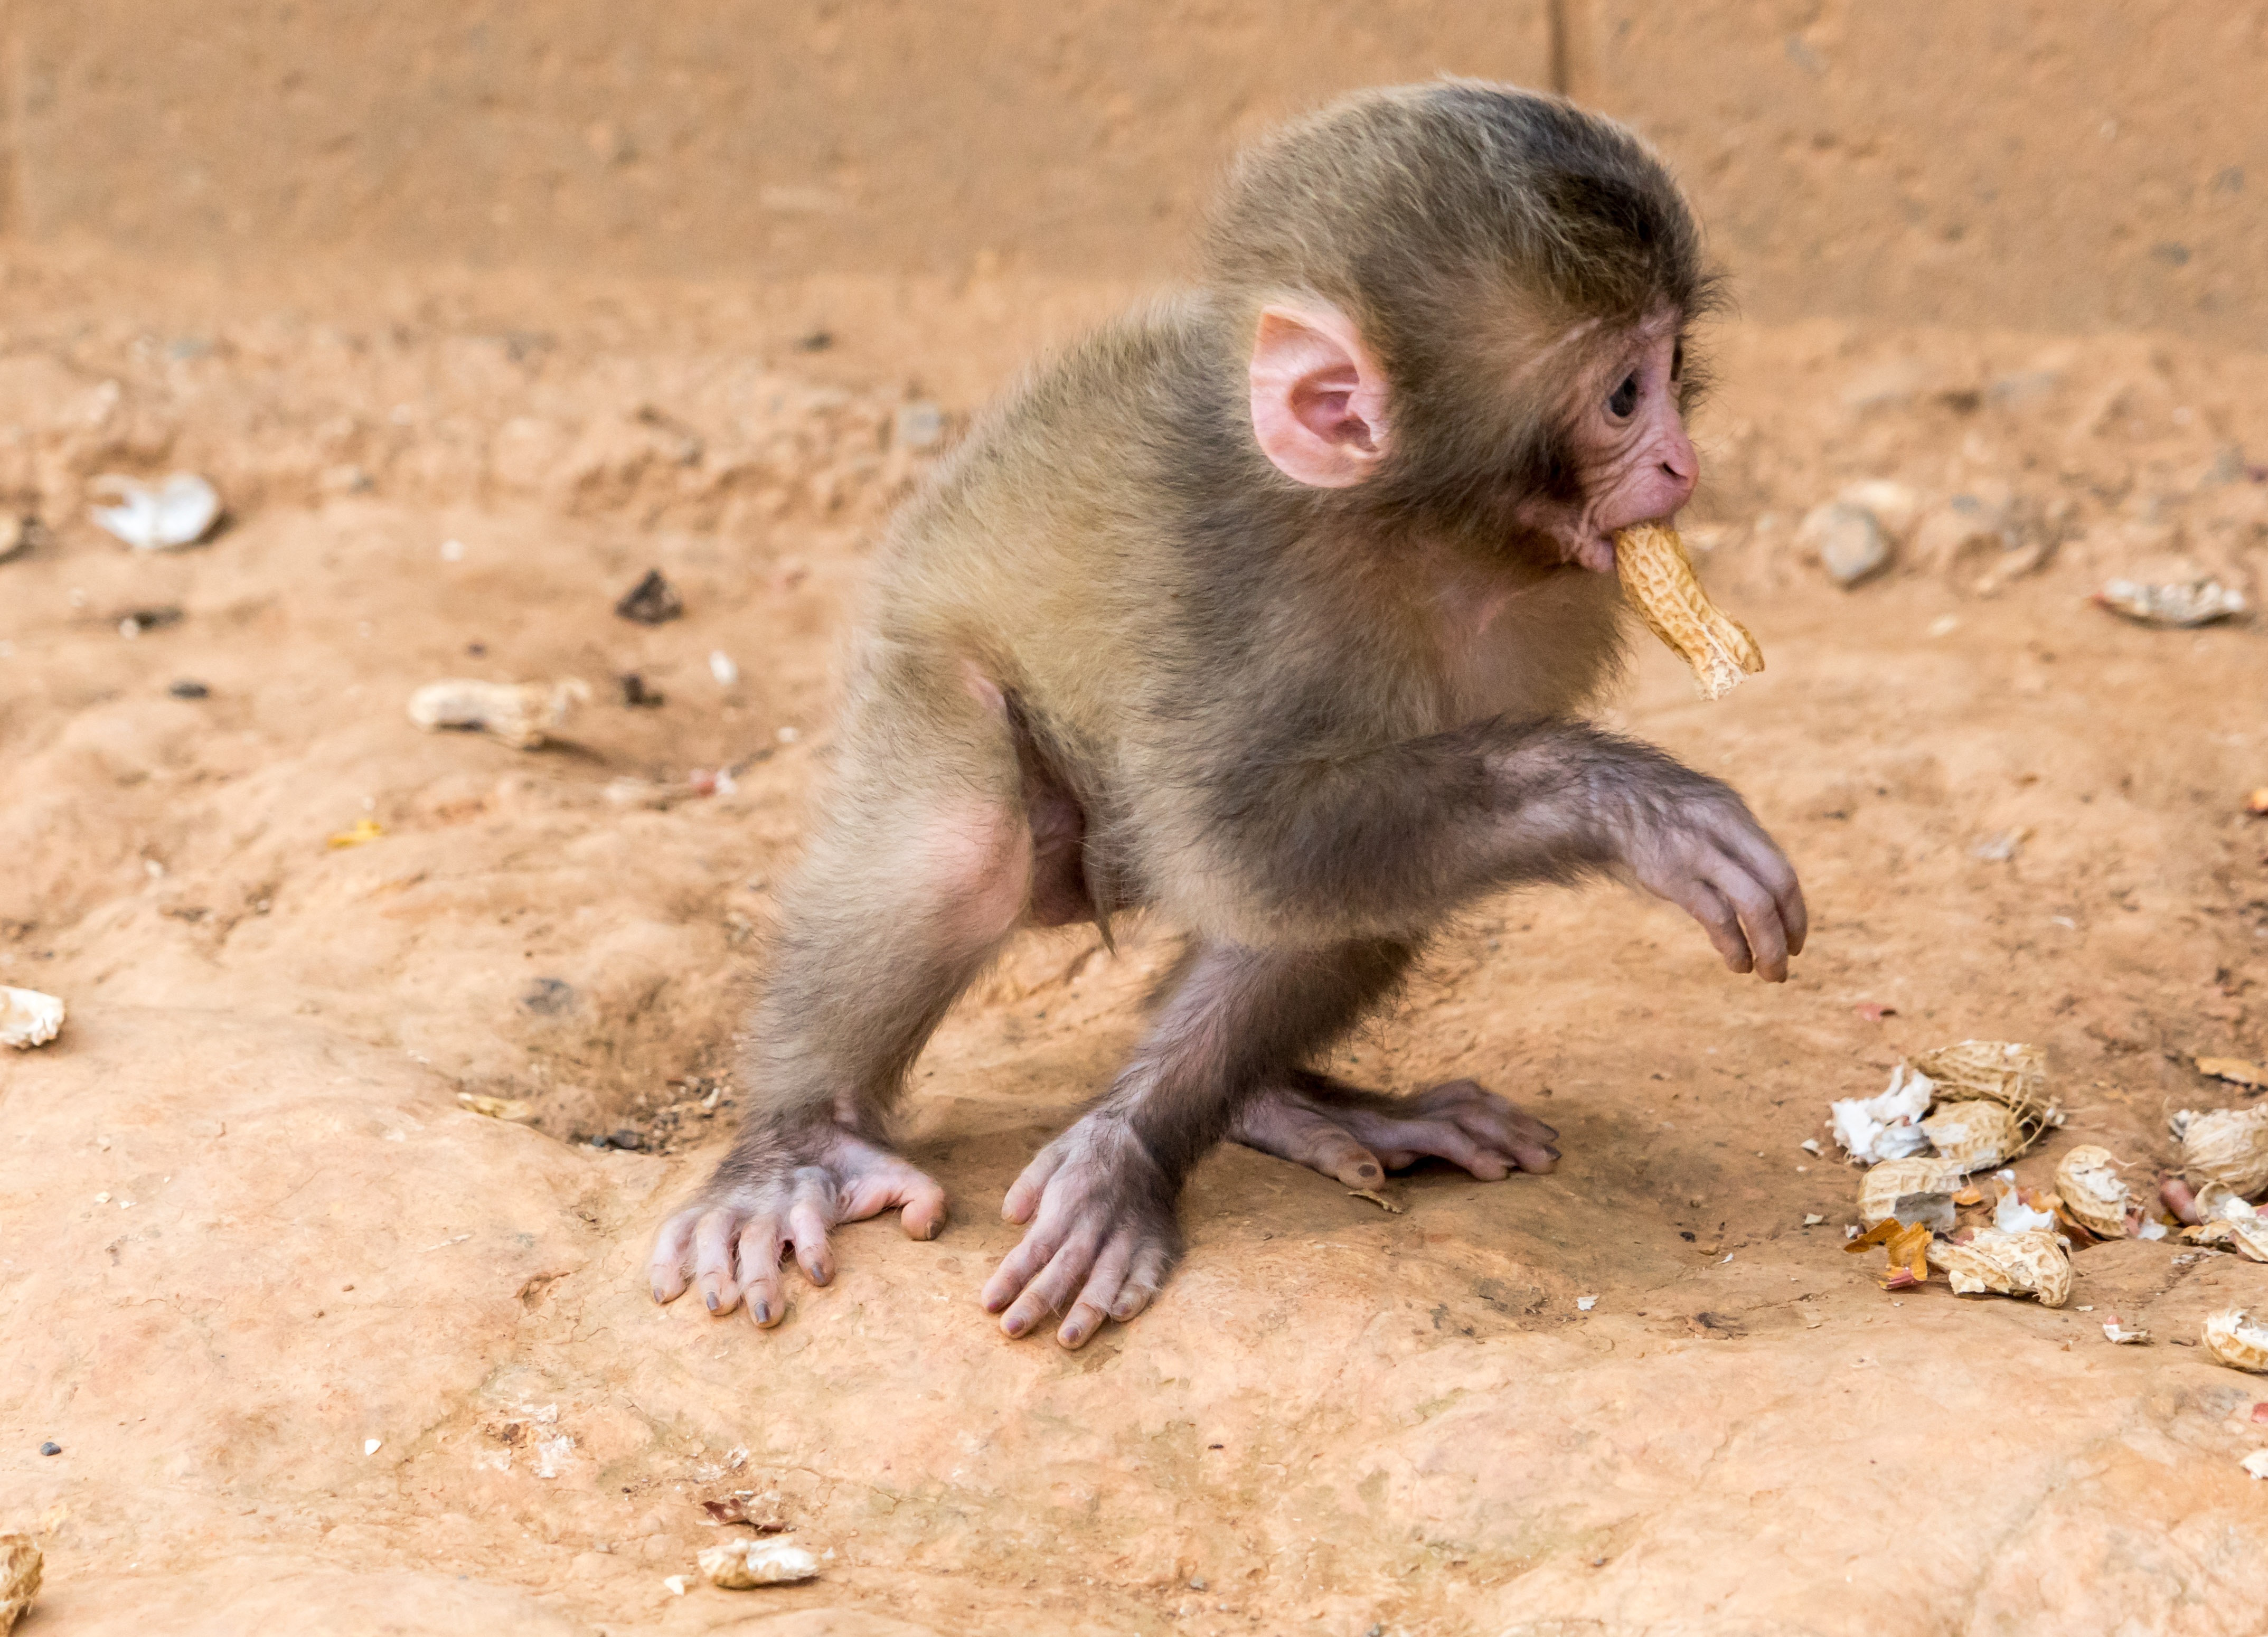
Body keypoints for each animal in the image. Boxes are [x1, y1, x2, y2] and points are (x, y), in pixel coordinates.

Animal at [653, 80, 1805, 1342]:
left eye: (1673, 364)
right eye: (1621, 395)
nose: (1681, 464)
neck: (1410, 538)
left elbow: (1289, 881)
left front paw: (1128, 1155)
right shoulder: (1225, 592)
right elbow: (1236, 846)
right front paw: (1635, 803)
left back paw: (1283, 1104)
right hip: (923, 673)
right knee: (966, 845)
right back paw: (797, 1150)